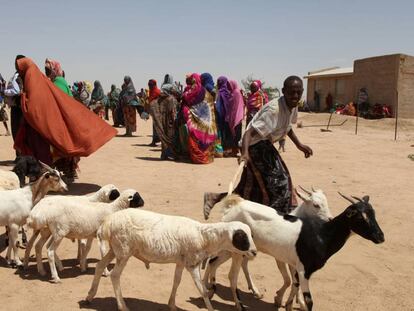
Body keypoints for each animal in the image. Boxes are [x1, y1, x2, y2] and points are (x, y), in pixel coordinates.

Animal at [85, 208, 258, 311]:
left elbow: (177, 281)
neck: (204, 237)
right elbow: (201, 289)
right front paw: (210, 308)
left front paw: (172, 305)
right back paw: (122, 306)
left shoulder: (181, 262)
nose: (254, 252)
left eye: (251, 235)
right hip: (123, 250)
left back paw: (89, 296)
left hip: (116, 250)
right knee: (115, 275)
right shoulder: (192, 264)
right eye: (242, 237)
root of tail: (107, 223)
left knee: (100, 266)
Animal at [203, 186, 334, 306]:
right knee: (212, 260)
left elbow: (295, 282)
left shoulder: (294, 262)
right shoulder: (280, 259)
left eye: (326, 202)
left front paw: (299, 302)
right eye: (316, 205)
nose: (330, 219)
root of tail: (232, 207)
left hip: (233, 250)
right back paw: (207, 286)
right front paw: (279, 299)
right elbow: (288, 280)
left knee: (216, 262)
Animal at [207, 195, 384, 311]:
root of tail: (234, 204)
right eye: (360, 217)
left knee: (213, 261)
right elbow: (309, 300)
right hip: (237, 251)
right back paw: (238, 304)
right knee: (231, 275)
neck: (322, 235)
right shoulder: (304, 269)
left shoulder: (296, 265)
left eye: (373, 214)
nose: (380, 237)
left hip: (231, 249)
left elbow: (294, 283)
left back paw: (210, 290)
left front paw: (286, 304)